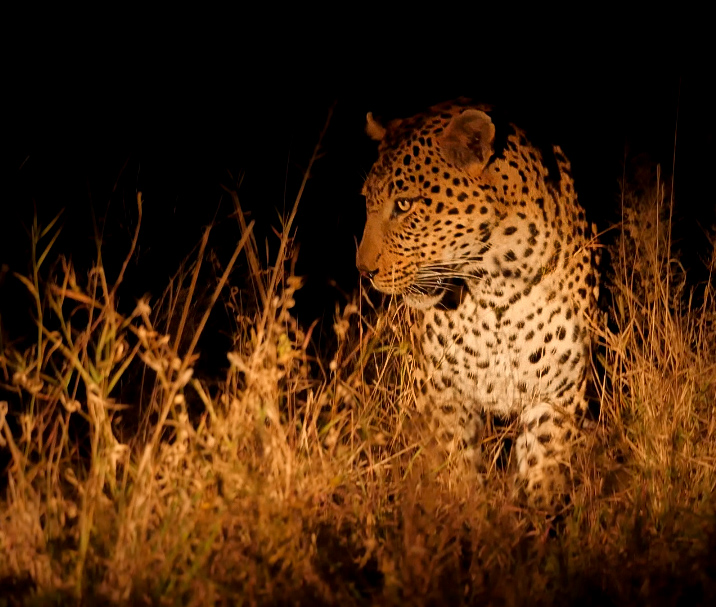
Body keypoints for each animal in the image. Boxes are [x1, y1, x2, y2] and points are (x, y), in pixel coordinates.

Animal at [356, 101, 600, 508]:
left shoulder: (557, 391)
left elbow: (542, 473)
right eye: (367, 203)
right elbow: (456, 467)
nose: (363, 270)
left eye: (404, 204)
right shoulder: (441, 391)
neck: (496, 287)